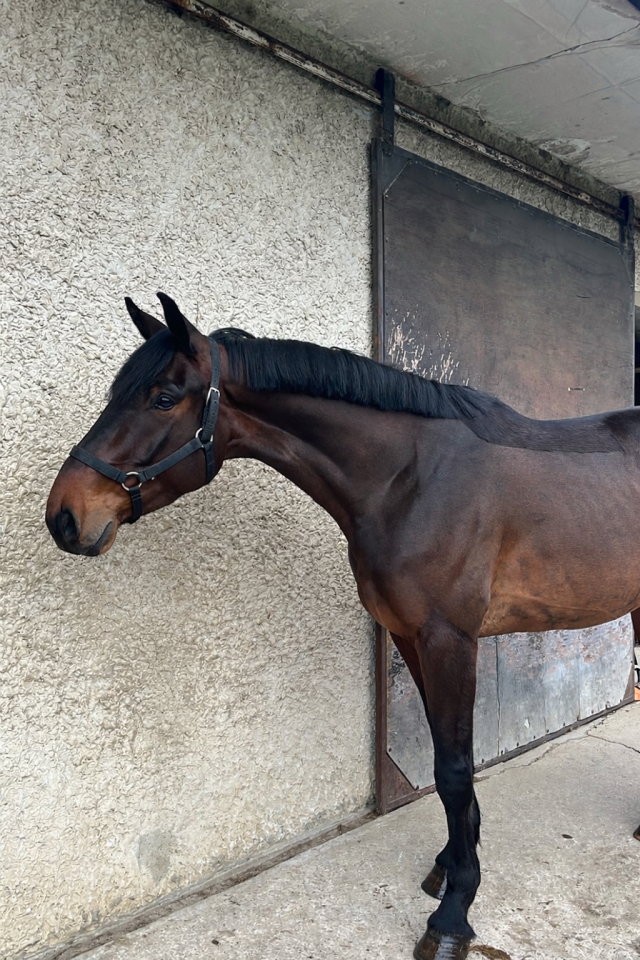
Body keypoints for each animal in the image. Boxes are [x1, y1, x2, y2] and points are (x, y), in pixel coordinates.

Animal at [46, 293, 640, 960]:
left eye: (164, 398)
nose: (64, 516)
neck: (410, 479)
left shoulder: (449, 640)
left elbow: (454, 770)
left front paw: (454, 914)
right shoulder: (412, 637)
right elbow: (444, 761)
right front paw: (449, 868)